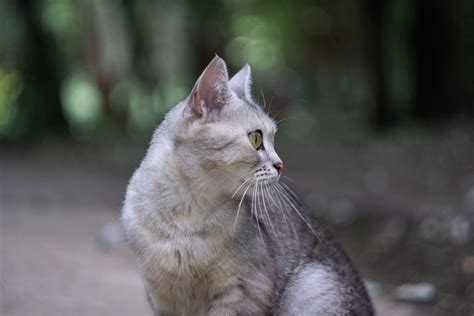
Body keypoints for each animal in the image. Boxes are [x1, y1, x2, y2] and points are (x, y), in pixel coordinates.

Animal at [122, 56, 374, 316]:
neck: (185, 215)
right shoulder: (162, 297)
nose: (280, 165)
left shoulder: (244, 291)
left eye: (273, 138)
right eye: (256, 138)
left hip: (313, 286)